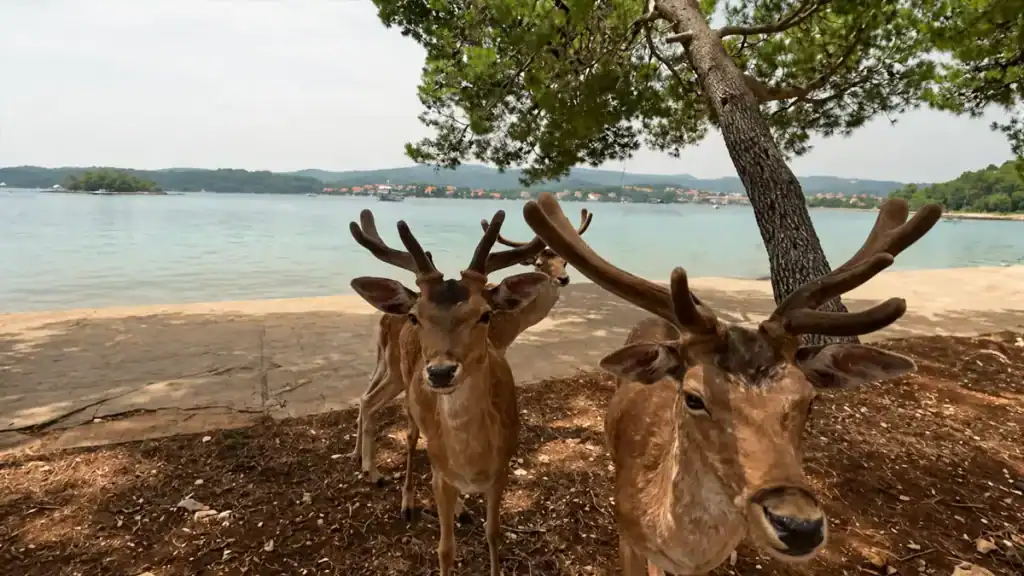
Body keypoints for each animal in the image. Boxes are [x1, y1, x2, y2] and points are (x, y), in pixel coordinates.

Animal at [348, 208, 551, 576]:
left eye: (485, 314)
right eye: (416, 316)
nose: (440, 372)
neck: (472, 462)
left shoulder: (501, 470)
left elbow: (494, 533)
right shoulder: (440, 474)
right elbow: (445, 549)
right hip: (407, 393)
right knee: (409, 437)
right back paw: (403, 498)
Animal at [349, 208, 593, 483]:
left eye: (565, 262)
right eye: (540, 264)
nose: (563, 279)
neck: (517, 321)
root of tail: (384, 320)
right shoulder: (498, 343)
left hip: (385, 361)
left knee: (365, 394)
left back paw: (357, 456)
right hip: (397, 369)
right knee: (371, 400)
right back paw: (372, 471)